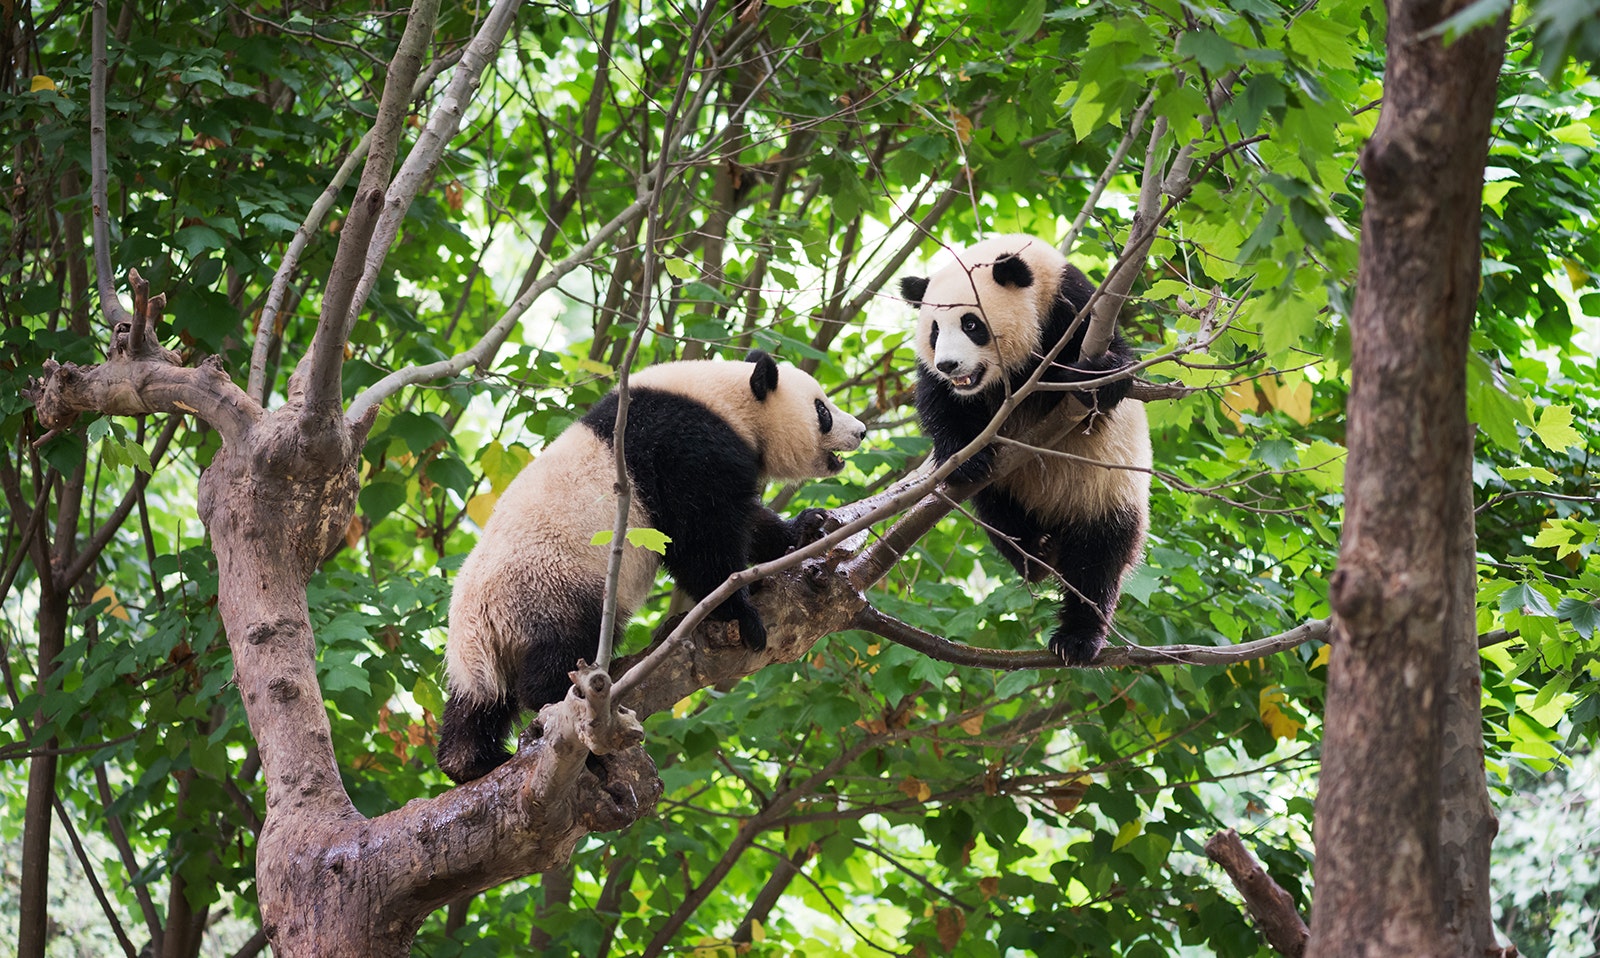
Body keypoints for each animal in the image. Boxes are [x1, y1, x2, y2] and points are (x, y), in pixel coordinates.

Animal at [435, 348, 864, 783]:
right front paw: (741, 615)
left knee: (479, 702)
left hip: (487, 645)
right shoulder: (684, 444)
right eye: (822, 409)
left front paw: (806, 528)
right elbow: (701, 533)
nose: (861, 431)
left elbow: (742, 522)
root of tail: (479, 624)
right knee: (561, 652)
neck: (725, 401)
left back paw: (470, 761)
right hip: (551, 586)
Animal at [902, 233, 1152, 668]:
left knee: (1099, 561)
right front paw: (966, 458)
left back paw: (1076, 637)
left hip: (1109, 490)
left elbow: (1117, 366)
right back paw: (1034, 552)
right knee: (997, 512)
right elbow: (941, 402)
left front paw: (1095, 380)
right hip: (1009, 490)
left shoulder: (1076, 309)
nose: (949, 364)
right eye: (933, 330)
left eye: (971, 324)